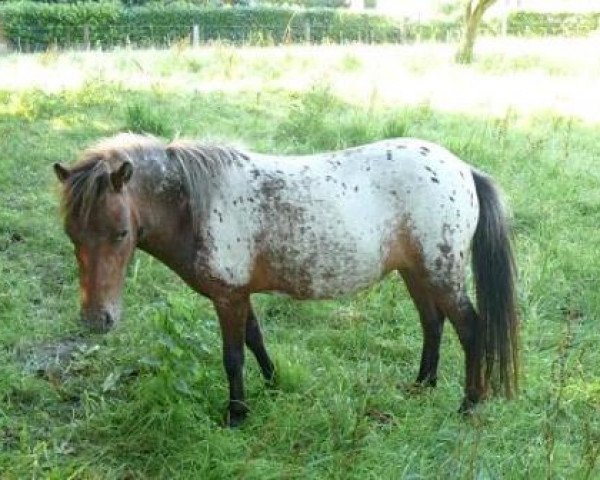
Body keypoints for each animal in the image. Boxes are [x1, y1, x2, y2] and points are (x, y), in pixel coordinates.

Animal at [54, 133, 516, 426]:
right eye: (72, 234)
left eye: (120, 234)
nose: (97, 320)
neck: (196, 206)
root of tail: (463, 170)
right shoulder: (239, 294)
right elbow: (255, 339)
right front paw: (273, 384)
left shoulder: (227, 297)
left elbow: (233, 356)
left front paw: (236, 414)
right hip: (415, 272)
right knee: (432, 323)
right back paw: (422, 385)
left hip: (441, 274)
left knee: (470, 329)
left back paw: (469, 405)